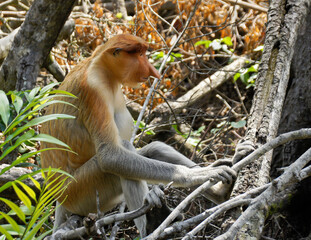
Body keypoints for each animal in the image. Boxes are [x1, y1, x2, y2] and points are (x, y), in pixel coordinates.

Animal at [41, 33, 239, 236]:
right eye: (141, 55)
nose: (153, 71)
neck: (100, 66)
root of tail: (60, 200)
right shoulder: (93, 89)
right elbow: (109, 156)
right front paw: (199, 174)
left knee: (155, 149)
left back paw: (222, 192)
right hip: (81, 192)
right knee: (118, 159)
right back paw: (153, 226)